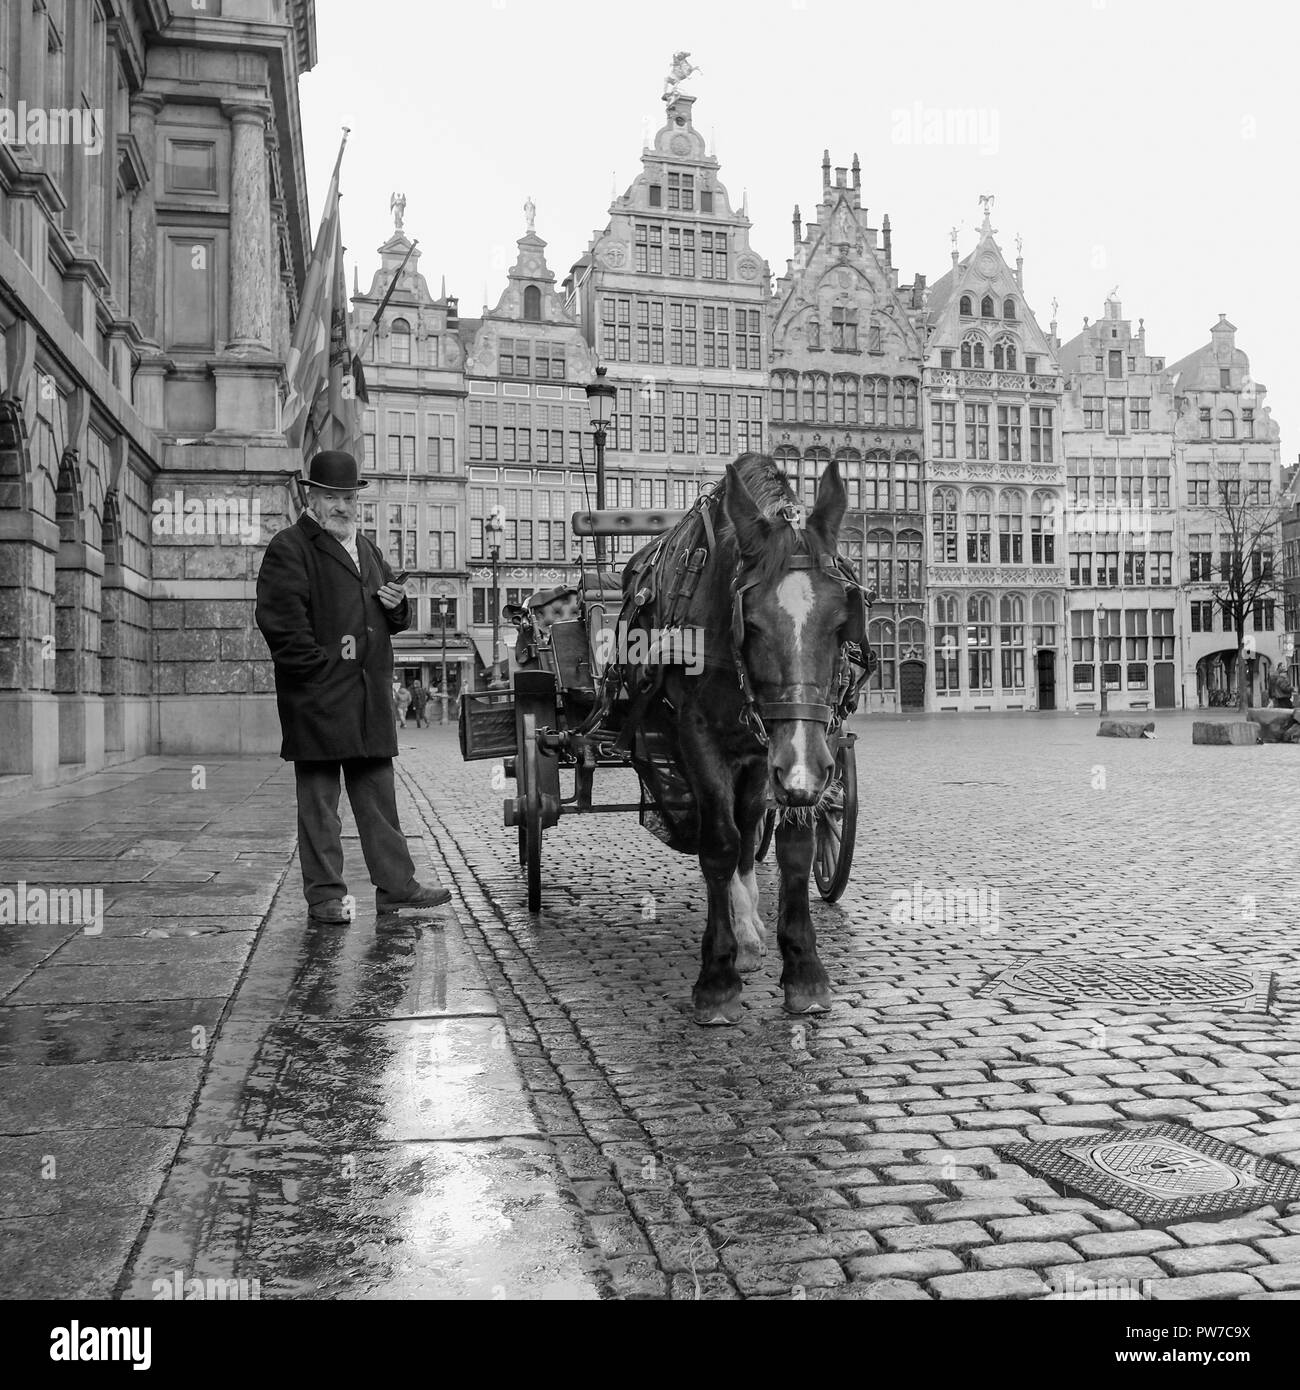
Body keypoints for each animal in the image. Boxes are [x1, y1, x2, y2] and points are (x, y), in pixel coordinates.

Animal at [618, 452, 862, 1025]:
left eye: (843, 621)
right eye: (748, 623)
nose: (802, 771)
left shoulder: (806, 749)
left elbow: (793, 848)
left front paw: (804, 969)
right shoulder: (698, 736)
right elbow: (719, 843)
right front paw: (717, 978)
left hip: (764, 756)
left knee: (752, 827)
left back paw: (751, 933)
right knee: (732, 832)